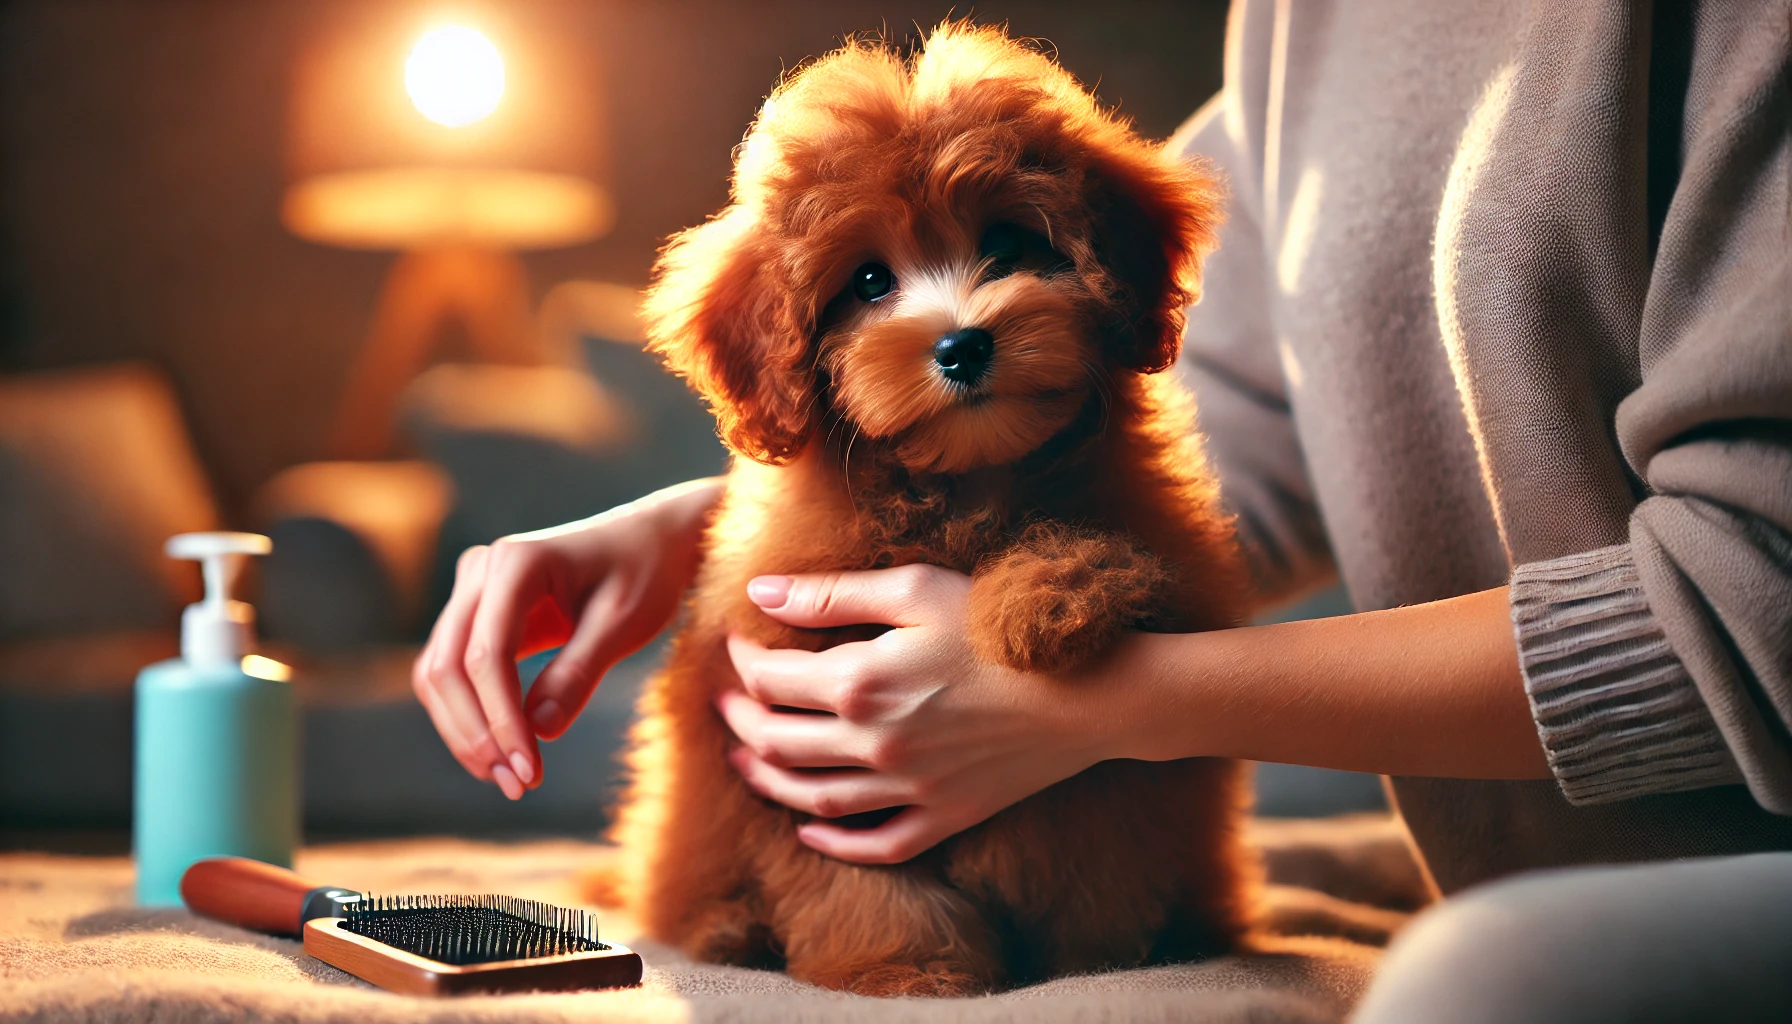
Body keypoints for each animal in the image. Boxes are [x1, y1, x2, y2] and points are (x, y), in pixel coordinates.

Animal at [598, 22, 1247, 1004]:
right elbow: (860, 876)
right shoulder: (806, 733)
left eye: (1011, 242)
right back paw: (729, 930)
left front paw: (1044, 603)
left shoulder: (1122, 757)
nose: (963, 344)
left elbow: (1095, 864)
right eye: (869, 281)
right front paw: (906, 972)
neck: (962, 492)